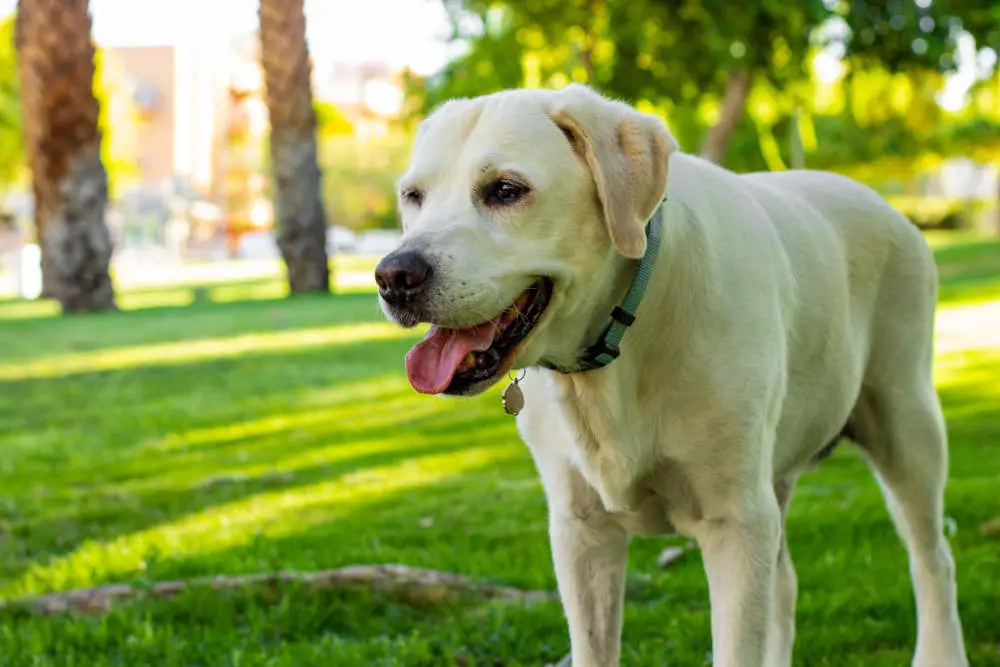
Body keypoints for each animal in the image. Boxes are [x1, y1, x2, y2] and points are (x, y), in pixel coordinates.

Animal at [372, 83, 964, 667]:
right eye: (413, 196)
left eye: (504, 190)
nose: (394, 275)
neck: (619, 344)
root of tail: (889, 207)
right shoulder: (580, 531)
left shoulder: (736, 523)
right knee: (786, 583)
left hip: (906, 424)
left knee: (933, 559)